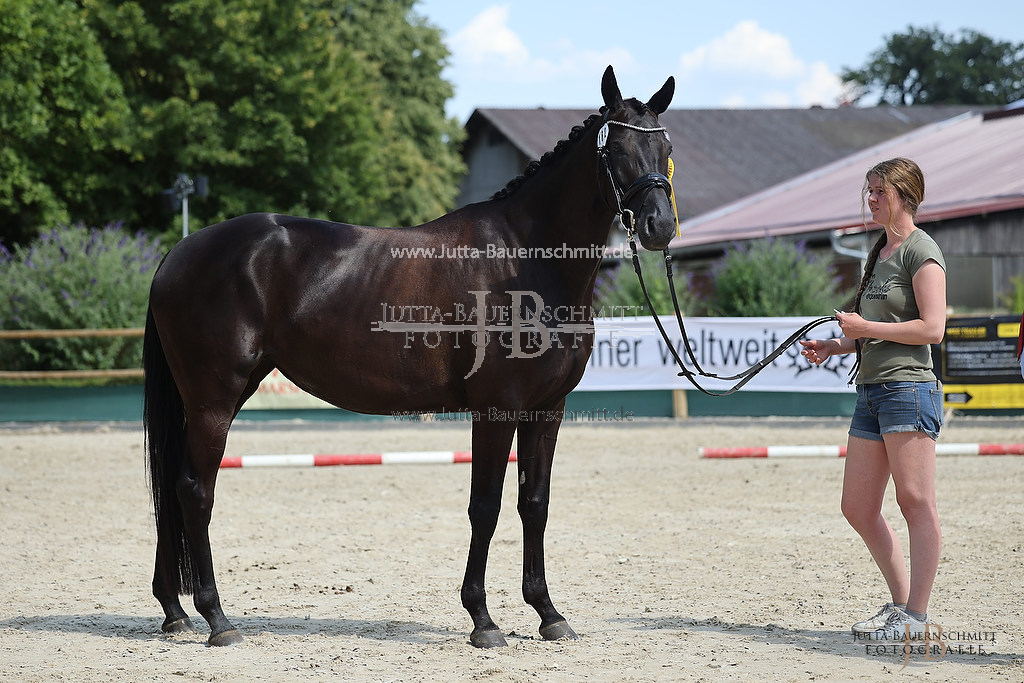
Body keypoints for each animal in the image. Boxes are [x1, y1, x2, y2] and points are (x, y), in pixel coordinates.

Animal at [142, 66, 671, 651]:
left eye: (665, 147)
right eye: (617, 148)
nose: (660, 226)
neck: (524, 260)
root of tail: (179, 253)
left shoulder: (546, 410)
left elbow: (534, 504)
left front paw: (548, 613)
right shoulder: (496, 409)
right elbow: (485, 507)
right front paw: (483, 619)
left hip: (213, 397)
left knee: (173, 486)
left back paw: (175, 611)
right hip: (214, 399)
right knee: (194, 491)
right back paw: (217, 619)